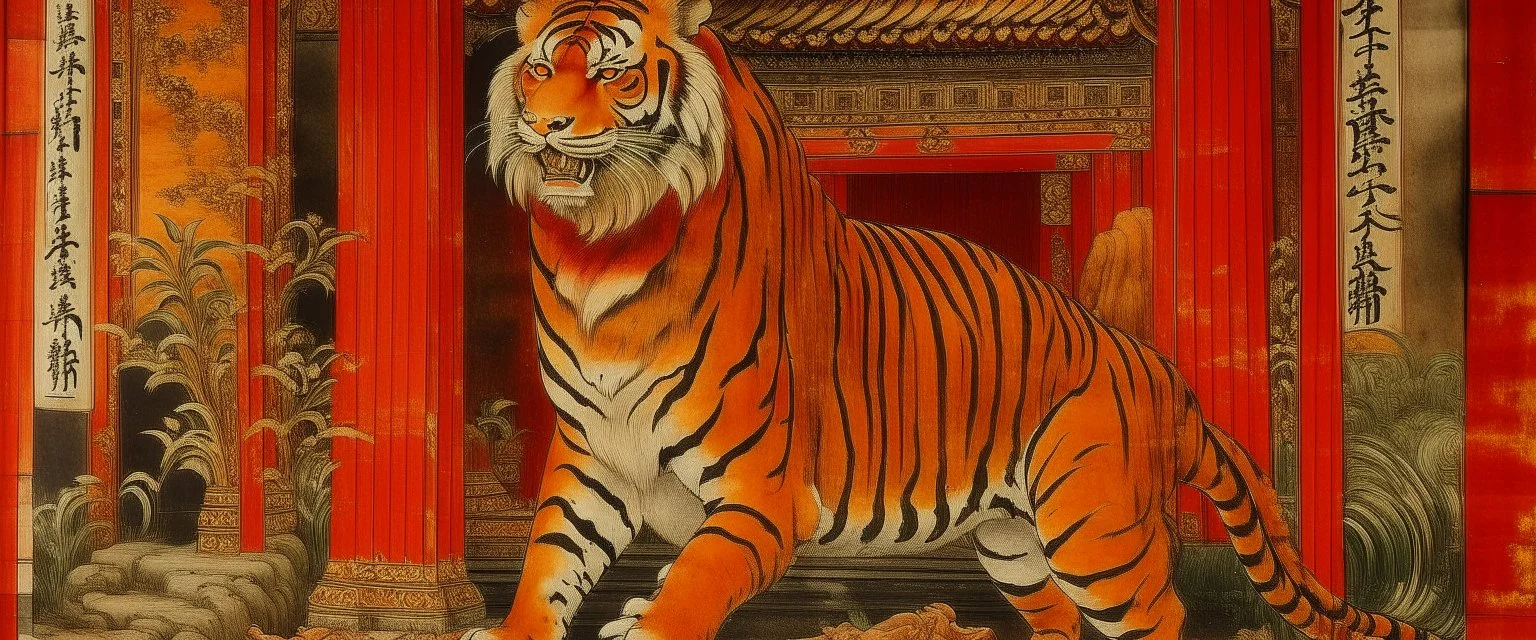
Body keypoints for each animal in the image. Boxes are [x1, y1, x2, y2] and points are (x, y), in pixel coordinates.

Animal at [475, 1, 1442, 640]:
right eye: (540, 68)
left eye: (612, 71)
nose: (544, 124)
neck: (603, 253)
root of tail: (1164, 377)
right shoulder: (593, 458)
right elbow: (549, 560)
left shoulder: (761, 493)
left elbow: (690, 586)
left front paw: (642, 618)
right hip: (1016, 544)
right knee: (1056, 618)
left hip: (1095, 533)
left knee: (1159, 611)